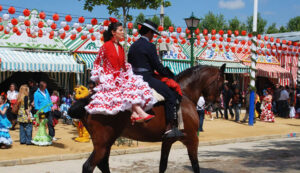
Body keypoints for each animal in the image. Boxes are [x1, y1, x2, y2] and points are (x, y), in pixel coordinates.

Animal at [69, 63, 225, 173]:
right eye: (221, 85)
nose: (217, 105)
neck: (184, 94)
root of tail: (88, 100)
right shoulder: (192, 139)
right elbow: (196, 166)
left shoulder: (167, 140)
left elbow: (163, 165)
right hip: (103, 143)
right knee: (89, 166)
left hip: (106, 142)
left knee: (102, 164)